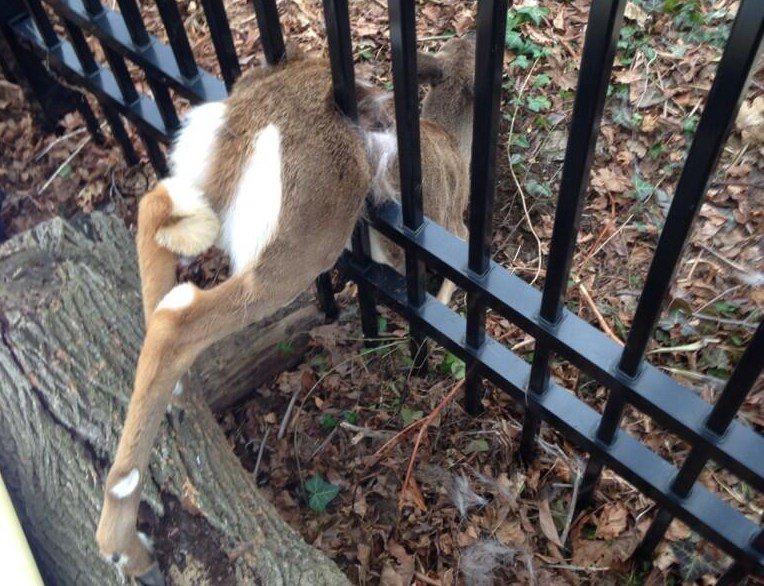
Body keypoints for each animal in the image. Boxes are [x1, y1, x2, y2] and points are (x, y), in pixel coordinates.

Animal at [96, 37, 478, 584]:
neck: (450, 139)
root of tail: (248, 119)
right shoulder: (451, 226)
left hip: (208, 185)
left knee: (154, 205)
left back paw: (178, 396)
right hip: (304, 239)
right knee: (179, 318)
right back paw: (125, 544)